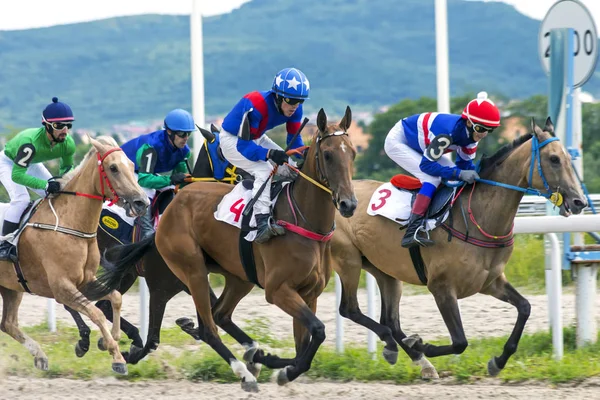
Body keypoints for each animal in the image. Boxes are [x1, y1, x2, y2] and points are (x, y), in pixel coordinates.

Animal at [0, 138, 149, 376]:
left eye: (132, 165)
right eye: (113, 168)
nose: (141, 202)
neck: (70, 224)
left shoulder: (85, 280)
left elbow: (115, 297)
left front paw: (109, 340)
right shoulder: (62, 287)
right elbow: (96, 312)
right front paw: (116, 356)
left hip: (11, 287)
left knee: (8, 323)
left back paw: (41, 356)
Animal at [91, 106, 358, 390]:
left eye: (352, 153)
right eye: (328, 154)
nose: (348, 204)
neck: (303, 222)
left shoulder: (309, 293)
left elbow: (305, 343)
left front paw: (275, 363)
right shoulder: (278, 290)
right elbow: (318, 330)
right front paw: (276, 367)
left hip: (236, 278)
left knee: (215, 316)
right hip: (190, 272)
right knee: (206, 328)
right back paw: (243, 373)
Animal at [328, 116, 584, 378]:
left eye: (569, 157)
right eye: (554, 159)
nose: (579, 202)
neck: (478, 217)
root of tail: (337, 197)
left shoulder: (490, 282)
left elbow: (525, 307)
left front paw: (498, 361)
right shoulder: (441, 287)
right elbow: (460, 341)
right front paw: (422, 344)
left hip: (385, 270)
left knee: (390, 320)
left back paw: (415, 359)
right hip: (349, 261)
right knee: (350, 309)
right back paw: (402, 347)